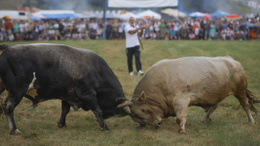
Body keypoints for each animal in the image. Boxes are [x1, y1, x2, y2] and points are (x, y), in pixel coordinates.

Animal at [0, 43, 132, 135]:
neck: (96, 70)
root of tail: (8, 48)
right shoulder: (88, 93)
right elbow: (97, 110)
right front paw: (104, 127)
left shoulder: (66, 95)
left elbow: (65, 110)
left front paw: (61, 124)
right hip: (17, 91)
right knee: (8, 107)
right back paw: (14, 130)